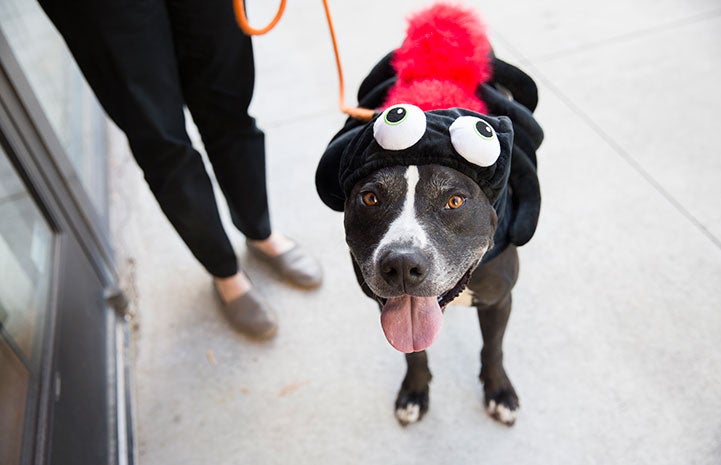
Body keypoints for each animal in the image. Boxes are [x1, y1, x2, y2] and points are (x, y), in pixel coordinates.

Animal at [312, 2, 544, 424]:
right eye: (370, 198)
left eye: (454, 201)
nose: (402, 265)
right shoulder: (389, 307)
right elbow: (414, 353)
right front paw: (415, 392)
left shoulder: (499, 299)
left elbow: (493, 348)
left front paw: (499, 390)